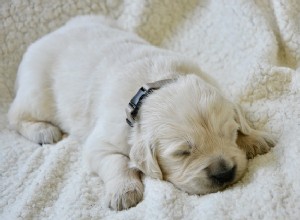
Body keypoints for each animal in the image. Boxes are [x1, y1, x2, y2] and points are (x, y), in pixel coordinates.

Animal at [7, 14, 274, 211]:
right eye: (182, 153)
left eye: (229, 134)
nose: (225, 173)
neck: (154, 86)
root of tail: (50, 34)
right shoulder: (101, 143)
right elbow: (117, 162)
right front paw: (123, 191)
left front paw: (254, 137)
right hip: (38, 93)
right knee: (14, 115)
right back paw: (43, 130)